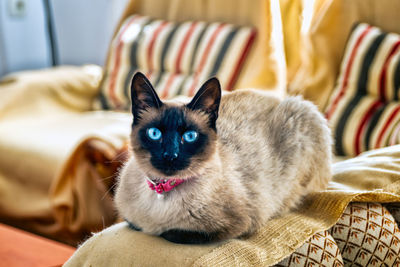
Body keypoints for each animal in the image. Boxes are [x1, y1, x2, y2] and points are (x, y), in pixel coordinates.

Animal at [114, 71, 332, 245]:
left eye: (190, 136)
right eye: (154, 133)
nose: (170, 156)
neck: (162, 192)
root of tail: (279, 97)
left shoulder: (238, 225)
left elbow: (171, 233)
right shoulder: (130, 219)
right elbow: (135, 224)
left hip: (302, 117)